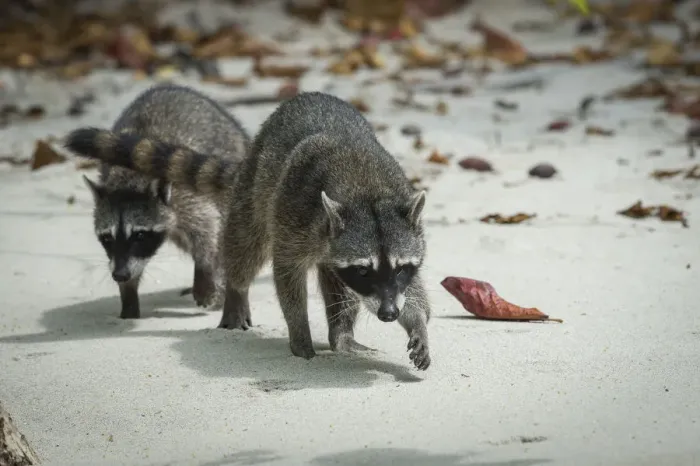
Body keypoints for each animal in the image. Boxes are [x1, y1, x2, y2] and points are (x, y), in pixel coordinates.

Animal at [64, 83, 250, 320]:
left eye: (140, 235)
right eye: (107, 238)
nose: (120, 275)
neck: (128, 180)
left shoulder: (186, 195)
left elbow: (207, 228)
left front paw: (205, 274)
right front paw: (128, 296)